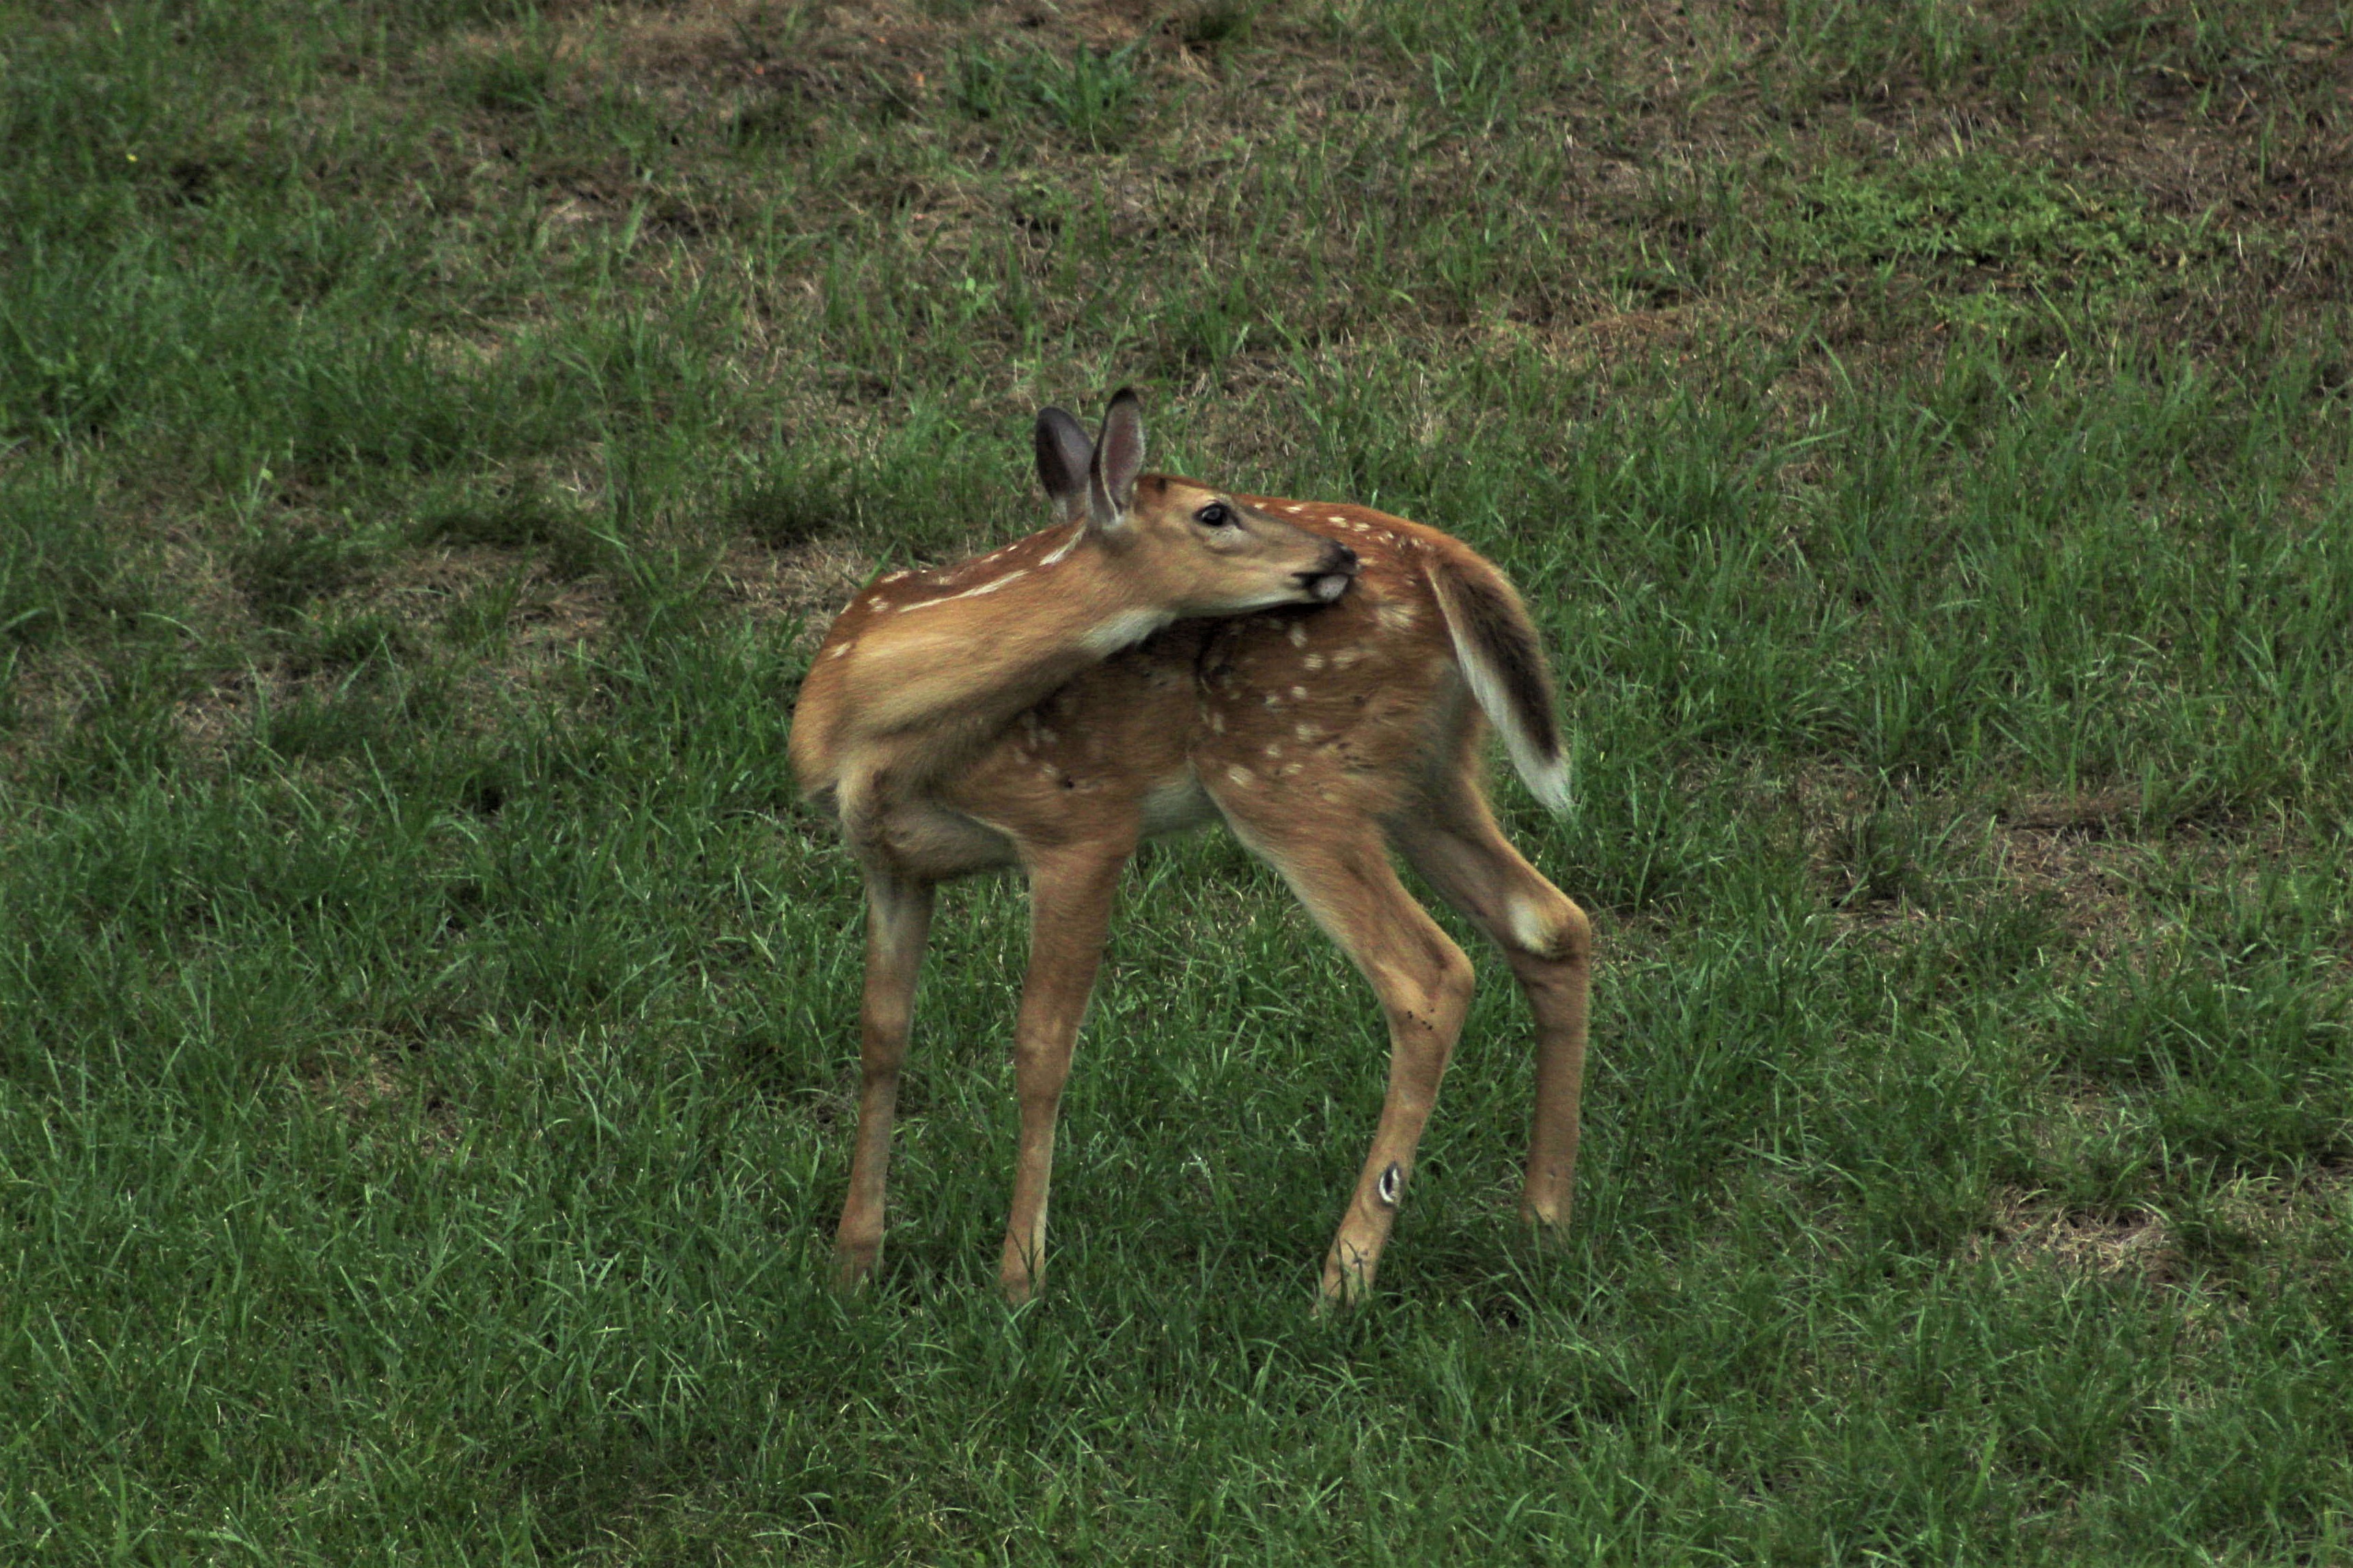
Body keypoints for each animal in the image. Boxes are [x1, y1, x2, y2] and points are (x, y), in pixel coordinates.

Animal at [795, 393, 1600, 1308]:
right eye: (1213, 511)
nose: (1336, 557)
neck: (880, 732)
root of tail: (1437, 553)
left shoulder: (1082, 824)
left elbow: (1041, 1046)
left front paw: (1018, 1279)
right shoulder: (889, 864)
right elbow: (881, 1036)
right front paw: (852, 1263)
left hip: (1286, 775)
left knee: (1429, 973)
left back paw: (1343, 1278)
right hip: (1423, 776)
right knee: (1549, 922)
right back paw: (1542, 1223)